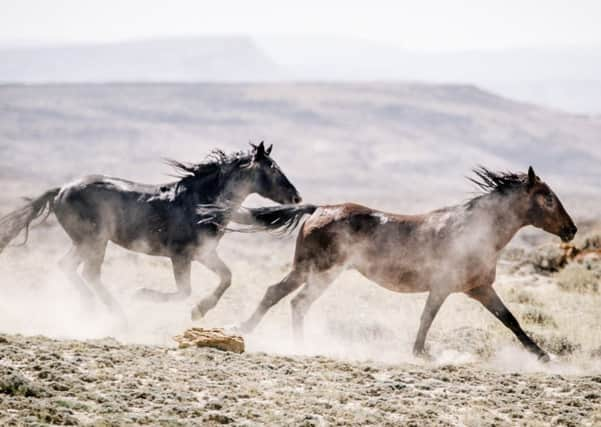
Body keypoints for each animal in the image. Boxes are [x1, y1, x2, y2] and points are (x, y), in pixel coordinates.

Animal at [0, 142, 300, 320]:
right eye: (273, 168)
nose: (296, 197)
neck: (200, 201)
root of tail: (61, 190)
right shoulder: (180, 256)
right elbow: (184, 291)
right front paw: (142, 294)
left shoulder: (204, 253)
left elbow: (226, 277)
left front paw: (200, 311)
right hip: (94, 241)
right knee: (90, 274)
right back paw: (119, 315)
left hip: (84, 242)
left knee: (68, 267)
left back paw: (90, 308)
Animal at [231, 167, 576, 362]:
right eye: (547, 199)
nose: (571, 230)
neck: (474, 230)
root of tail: (319, 209)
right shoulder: (443, 287)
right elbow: (427, 318)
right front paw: (420, 353)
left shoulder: (480, 288)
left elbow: (511, 320)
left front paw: (543, 355)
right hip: (314, 269)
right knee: (278, 294)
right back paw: (252, 331)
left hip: (322, 275)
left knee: (295, 301)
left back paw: (297, 343)